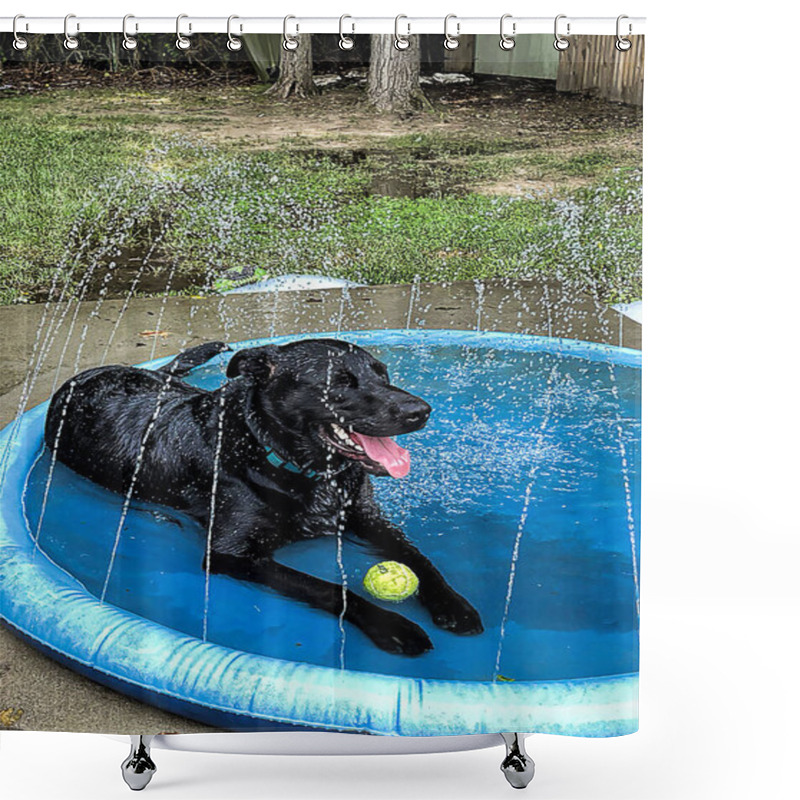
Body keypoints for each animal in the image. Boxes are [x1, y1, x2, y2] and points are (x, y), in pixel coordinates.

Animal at [45, 338, 482, 656]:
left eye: (383, 374)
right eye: (338, 383)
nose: (421, 411)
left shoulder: (365, 517)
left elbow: (420, 559)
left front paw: (453, 604)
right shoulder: (232, 554)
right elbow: (328, 588)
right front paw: (393, 626)